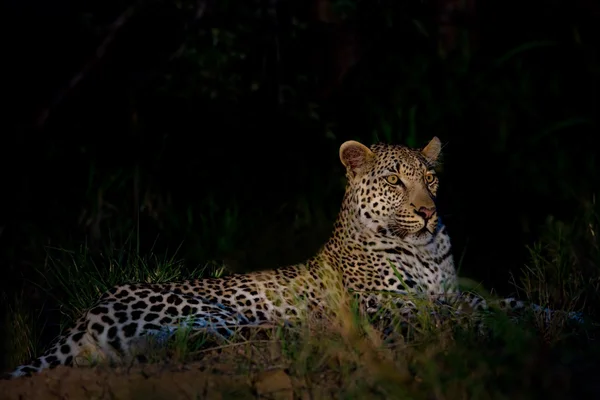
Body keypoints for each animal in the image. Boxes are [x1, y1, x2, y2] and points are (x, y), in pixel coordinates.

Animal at [4, 138, 580, 378]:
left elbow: (505, 303)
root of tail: (82, 317)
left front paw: (565, 317)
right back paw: (309, 332)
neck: (427, 249)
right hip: (207, 310)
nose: (428, 211)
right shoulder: (400, 308)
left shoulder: (450, 292)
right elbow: (467, 316)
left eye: (431, 179)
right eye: (396, 181)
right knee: (173, 345)